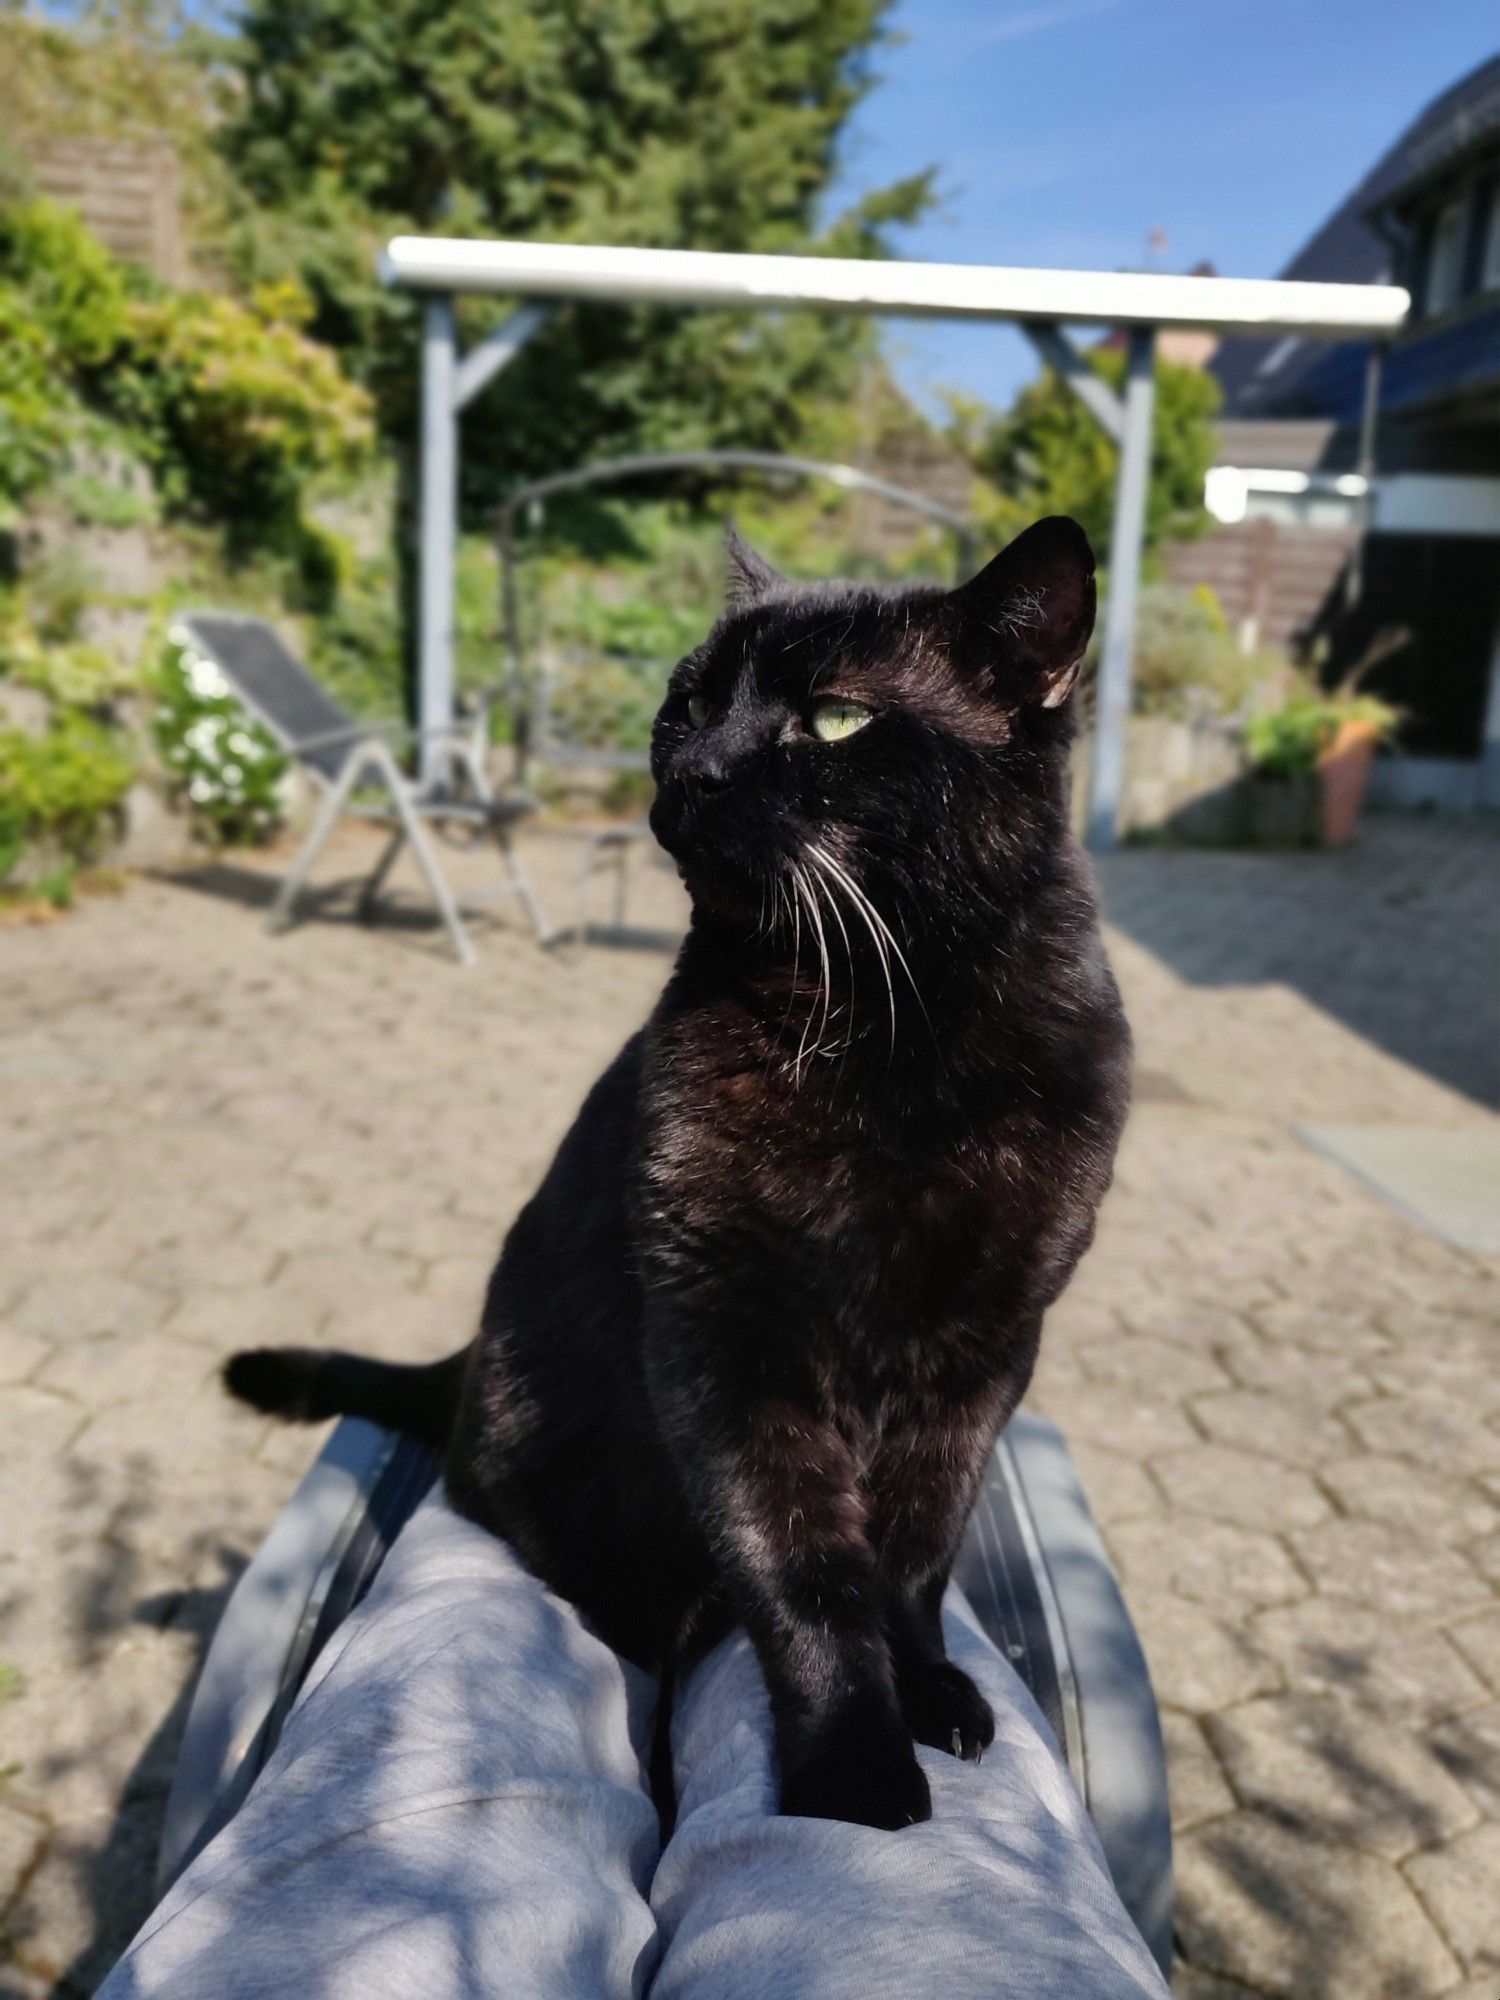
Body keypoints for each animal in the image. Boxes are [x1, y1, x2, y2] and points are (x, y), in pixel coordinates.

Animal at [229, 516, 1136, 1832]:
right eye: (692, 700)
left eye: (837, 717)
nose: (696, 766)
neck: (890, 1035)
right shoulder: (721, 1328)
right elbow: (805, 1569)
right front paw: (854, 1767)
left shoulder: (986, 1345)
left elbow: (917, 1553)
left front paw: (929, 1688)